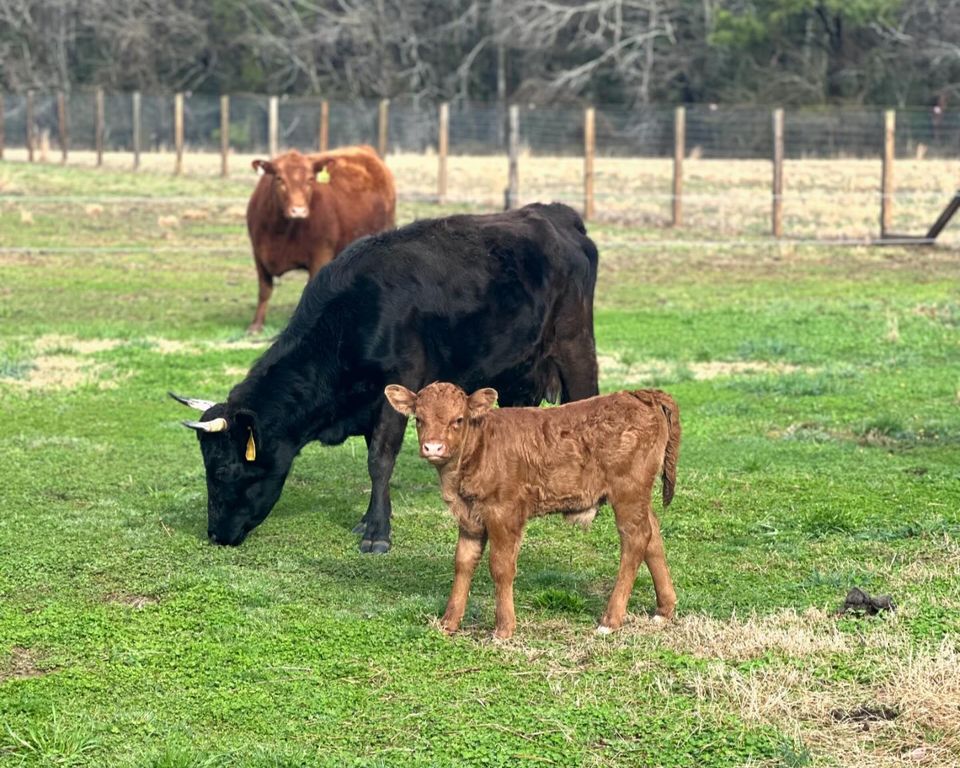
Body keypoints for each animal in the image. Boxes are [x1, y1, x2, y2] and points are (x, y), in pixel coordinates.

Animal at [171, 203, 599, 553]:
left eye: (223, 470)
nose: (215, 534)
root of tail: (555, 213)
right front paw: (368, 519)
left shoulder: (396, 387)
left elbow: (380, 459)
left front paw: (378, 532)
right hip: (513, 367)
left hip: (574, 344)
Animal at [245, 145, 396, 333]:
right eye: (279, 178)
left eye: (310, 179)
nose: (298, 210)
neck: (280, 232)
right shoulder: (259, 253)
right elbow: (264, 290)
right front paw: (256, 325)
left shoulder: (320, 255)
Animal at [384, 382, 680, 639]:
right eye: (418, 419)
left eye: (458, 419)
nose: (433, 447)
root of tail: (639, 394)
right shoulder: (470, 518)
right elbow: (463, 563)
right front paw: (449, 622)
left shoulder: (504, 513)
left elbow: (501, 567)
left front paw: (503, 629)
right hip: (638, 496)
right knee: (653, 536)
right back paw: (663, 610)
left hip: (627, 491)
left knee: (635, 540)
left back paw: (611, 620)